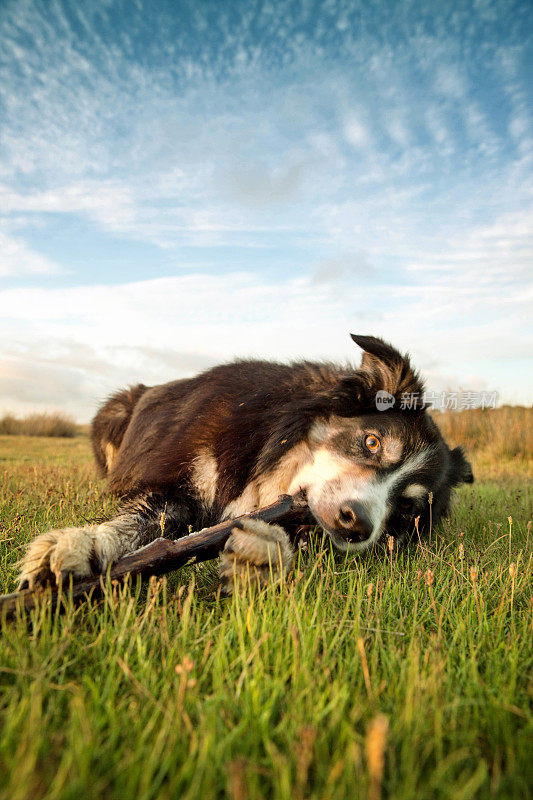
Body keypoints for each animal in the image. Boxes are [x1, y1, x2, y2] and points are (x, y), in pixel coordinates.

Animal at [17, 334, 474, 592]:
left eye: (407, 510)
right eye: (372, 441)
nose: (357, 524)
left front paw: (260, 551)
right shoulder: (177, 486)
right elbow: (143, 518)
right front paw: (86, 545)